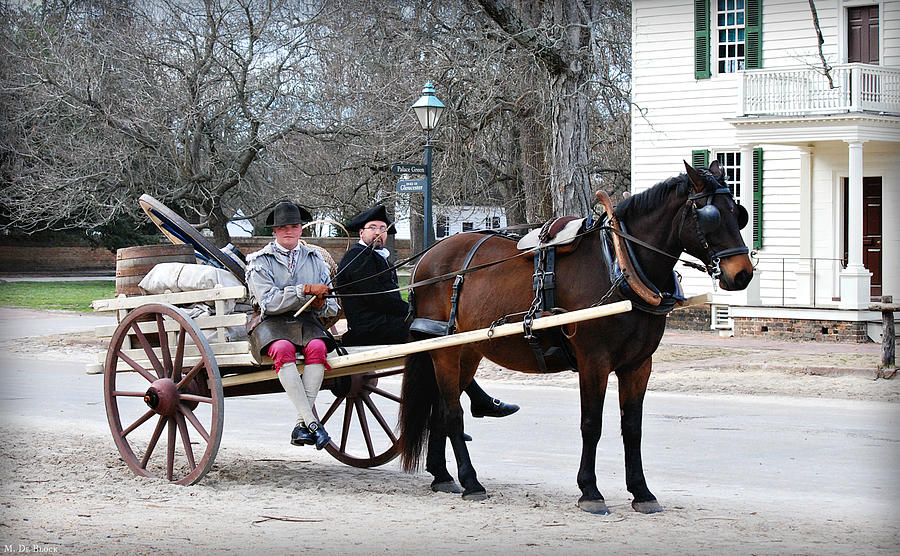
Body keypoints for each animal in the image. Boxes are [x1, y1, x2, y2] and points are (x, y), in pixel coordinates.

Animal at [398, 160, 756, 512]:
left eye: (738, 212)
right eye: (709, 216)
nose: (742, 274)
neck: (620, 264)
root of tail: (427, 258)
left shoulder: (639, 365)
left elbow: (632, 427)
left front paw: (641, 491)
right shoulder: (594, 361)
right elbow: (591, 424)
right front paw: (590, 491)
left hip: (468, 351)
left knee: (440, 411)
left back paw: (442, 476)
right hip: (445, 352)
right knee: (452, 413)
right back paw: (471, 481)